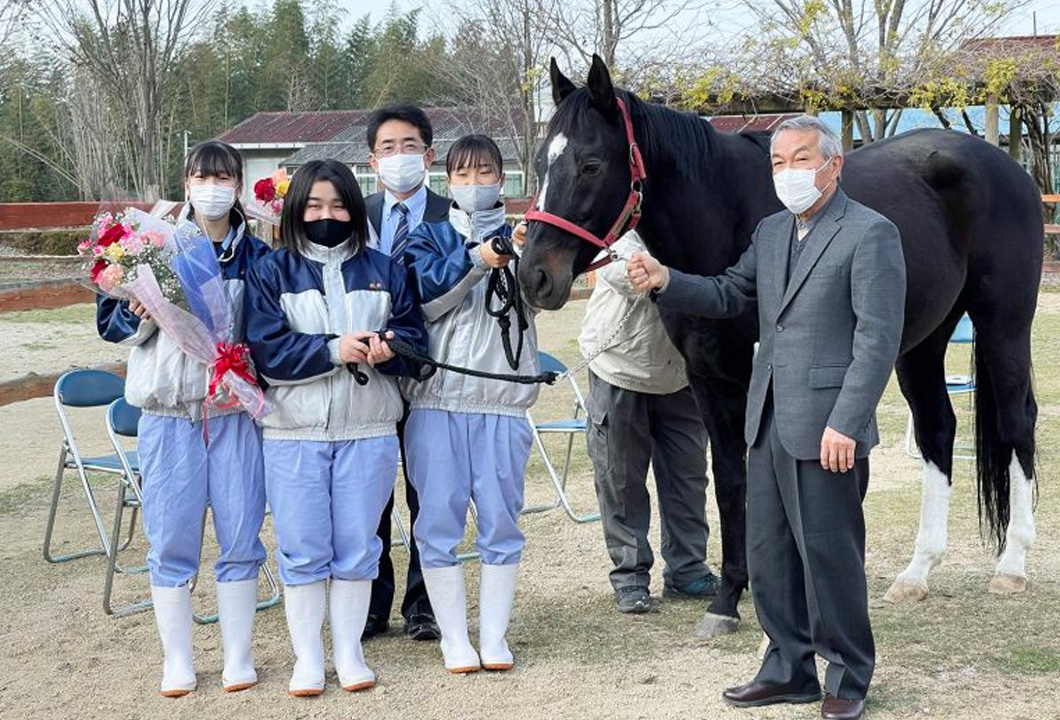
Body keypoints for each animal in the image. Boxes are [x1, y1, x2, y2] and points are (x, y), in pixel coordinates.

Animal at [521, 54, 1043, 631]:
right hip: (920, 344)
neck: (727, 218)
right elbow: (730, 482)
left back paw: (1013, 565)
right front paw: (729, 597)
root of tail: (1005, 166)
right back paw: (917, 572)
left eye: (590, 164)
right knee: (937, 429)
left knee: (1017, 421)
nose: (534, 275)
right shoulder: (709, 380)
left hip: (1003, 323)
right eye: (541, 165)